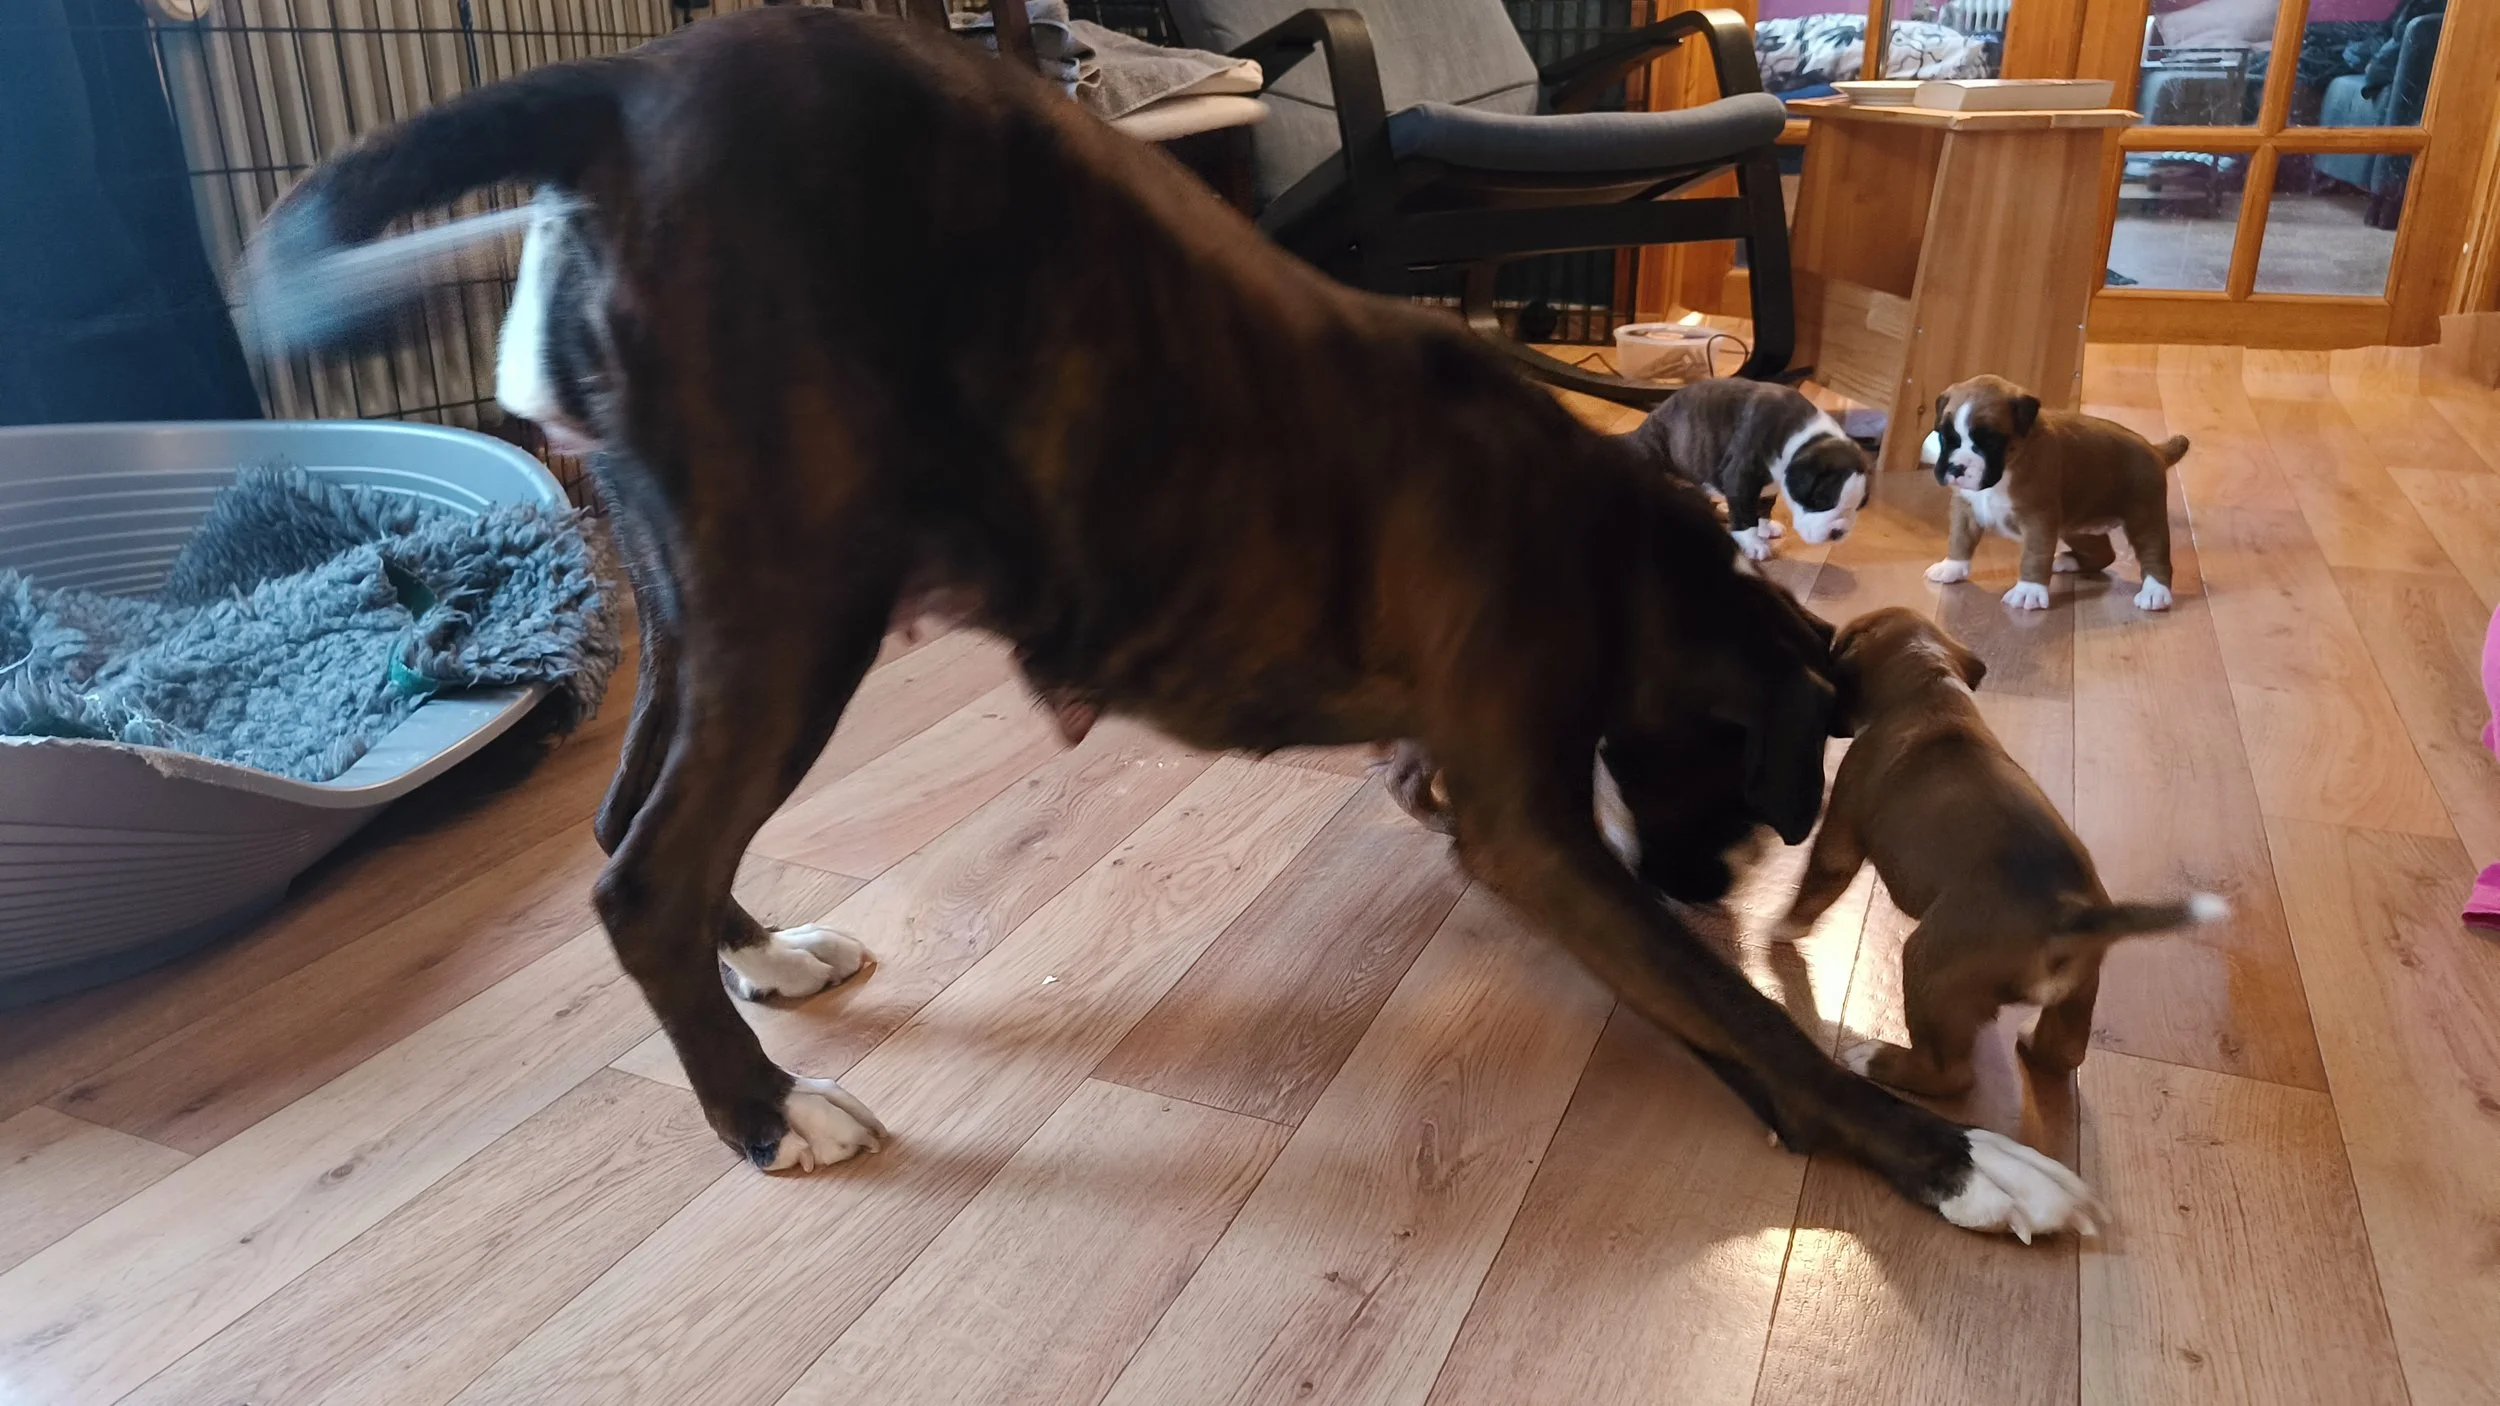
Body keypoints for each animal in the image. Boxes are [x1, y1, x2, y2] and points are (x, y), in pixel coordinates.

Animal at [1623, 376, 1868, 560]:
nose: (1838, 532)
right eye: (1820, 501)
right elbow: (1745, 514)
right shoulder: (1740, 476)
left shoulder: (1766, 489)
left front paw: (1765, 529)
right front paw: (1753, 543)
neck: (1803, 439)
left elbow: (1762, 508)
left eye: (1858, 506)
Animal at [1778, 609, 2227, 1114]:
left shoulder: (1842, 832)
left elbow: (1818, 883)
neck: (1927, 685)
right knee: (2064, 1051)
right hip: (2080, 988)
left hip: (1928, 964)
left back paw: (1875, 1059)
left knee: (1950, 1074)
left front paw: (1780, 927)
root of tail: (2073, 918)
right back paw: (2031, 1041)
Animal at [1918, 374, 2191, 611]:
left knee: (2155, 555)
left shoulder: (2038, 518)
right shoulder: (1965, 508)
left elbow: (2034, 554)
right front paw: (1952, 567)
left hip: (2144, 518)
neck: (2008, 466)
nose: (1956, 467)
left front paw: (2028, 590)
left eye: (1991, 442)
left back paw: (2155, 592)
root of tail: (2154, 449)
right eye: (1945, 437)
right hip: (2078, 528)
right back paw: (2069, 560)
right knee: (2105, 553)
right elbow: (1959, 538)